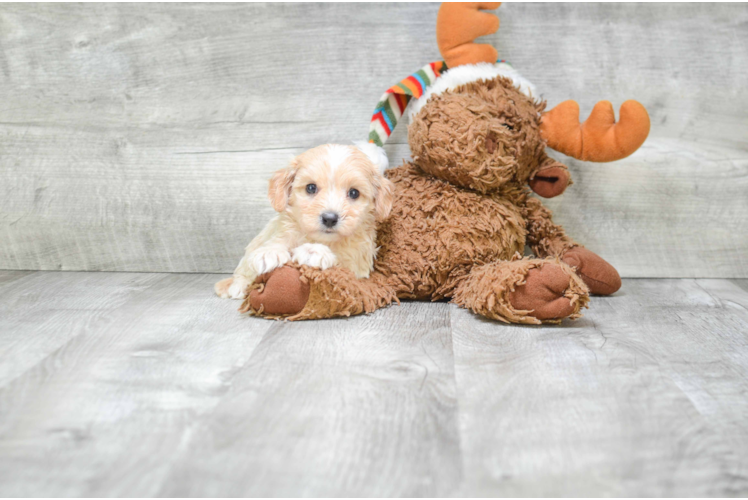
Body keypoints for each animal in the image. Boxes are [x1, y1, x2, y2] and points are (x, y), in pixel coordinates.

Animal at [215, 145, 394, 300]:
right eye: (311, 188)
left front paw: (313, 251)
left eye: (354, 193)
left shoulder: (359, 264)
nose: (329, 218)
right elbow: (277, 242)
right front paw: (269, 252)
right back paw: (237, 286)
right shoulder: (283, 229)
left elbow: (342, 265)